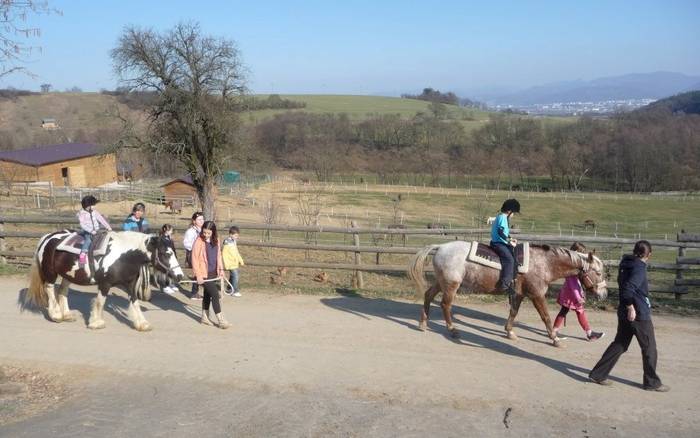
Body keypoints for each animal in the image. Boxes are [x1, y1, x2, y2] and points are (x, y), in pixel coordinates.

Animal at [22, 231, 183, 330]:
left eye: (174, 253)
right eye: (165, 253)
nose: (180, 276)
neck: (124, 256)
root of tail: (48, 237)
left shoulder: (130, 285)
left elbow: (135, 302)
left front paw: (142, 324)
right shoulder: (105, 284)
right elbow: (100, 302)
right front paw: (96, 322)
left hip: (68, 275)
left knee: (62, 291)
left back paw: (67, 315)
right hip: (51, 273)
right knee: (49, 289)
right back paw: (56, 315)